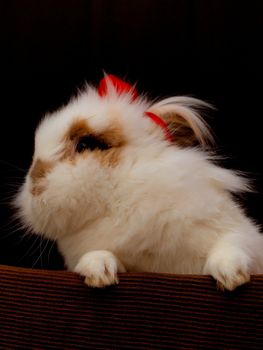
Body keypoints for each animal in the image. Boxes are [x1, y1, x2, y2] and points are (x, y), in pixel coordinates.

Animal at [14, 73, 263, 290]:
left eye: (86, 144)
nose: (34, 185)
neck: (122, 193)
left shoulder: (239, 232)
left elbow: (232, 245)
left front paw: (231, 276)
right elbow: (98, 255)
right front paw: (99, 273)